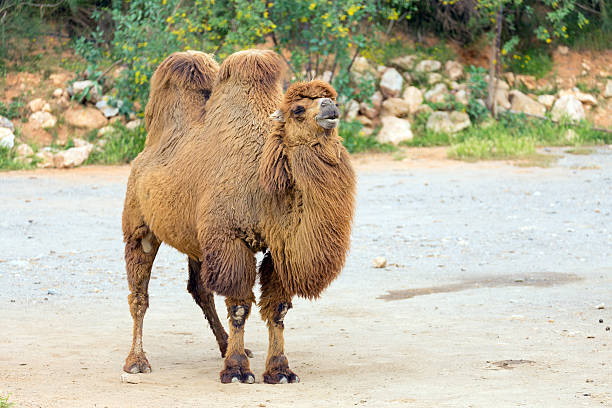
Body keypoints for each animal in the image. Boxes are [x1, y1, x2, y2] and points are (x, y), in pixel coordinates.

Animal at [122, 49, 356, 384]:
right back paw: (137, 362)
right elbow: (240, 306)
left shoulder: (277, 247)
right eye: (298, 109)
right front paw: (236, 370)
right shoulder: (230, 238)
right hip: (139, 227)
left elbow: (278, 308)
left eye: (332, 97)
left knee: (201, 290)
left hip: (197, 240)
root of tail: (146, 153)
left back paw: (227, 346)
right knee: (140, 295)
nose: (330, 108)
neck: (266, 182)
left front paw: (279, 370)